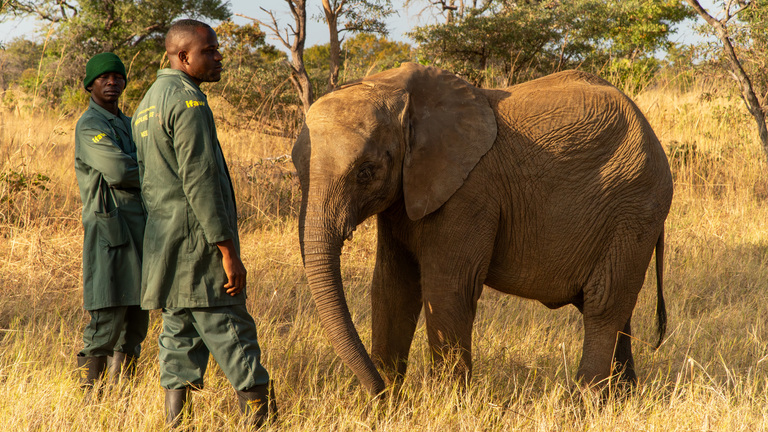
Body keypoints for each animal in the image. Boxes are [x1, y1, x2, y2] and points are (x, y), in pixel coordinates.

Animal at [291, 62, 673, 396]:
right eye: (297, 169)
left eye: (366, 171)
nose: (378, 392)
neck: (396, 88)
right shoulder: (405, 195)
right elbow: (392, 287)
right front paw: (388, 406)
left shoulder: (468, 192)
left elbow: (448, 289)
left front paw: (444, 405)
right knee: (615, 309)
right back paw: (621, 398)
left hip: (635, 208)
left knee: (603, 304)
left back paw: (582, 402)